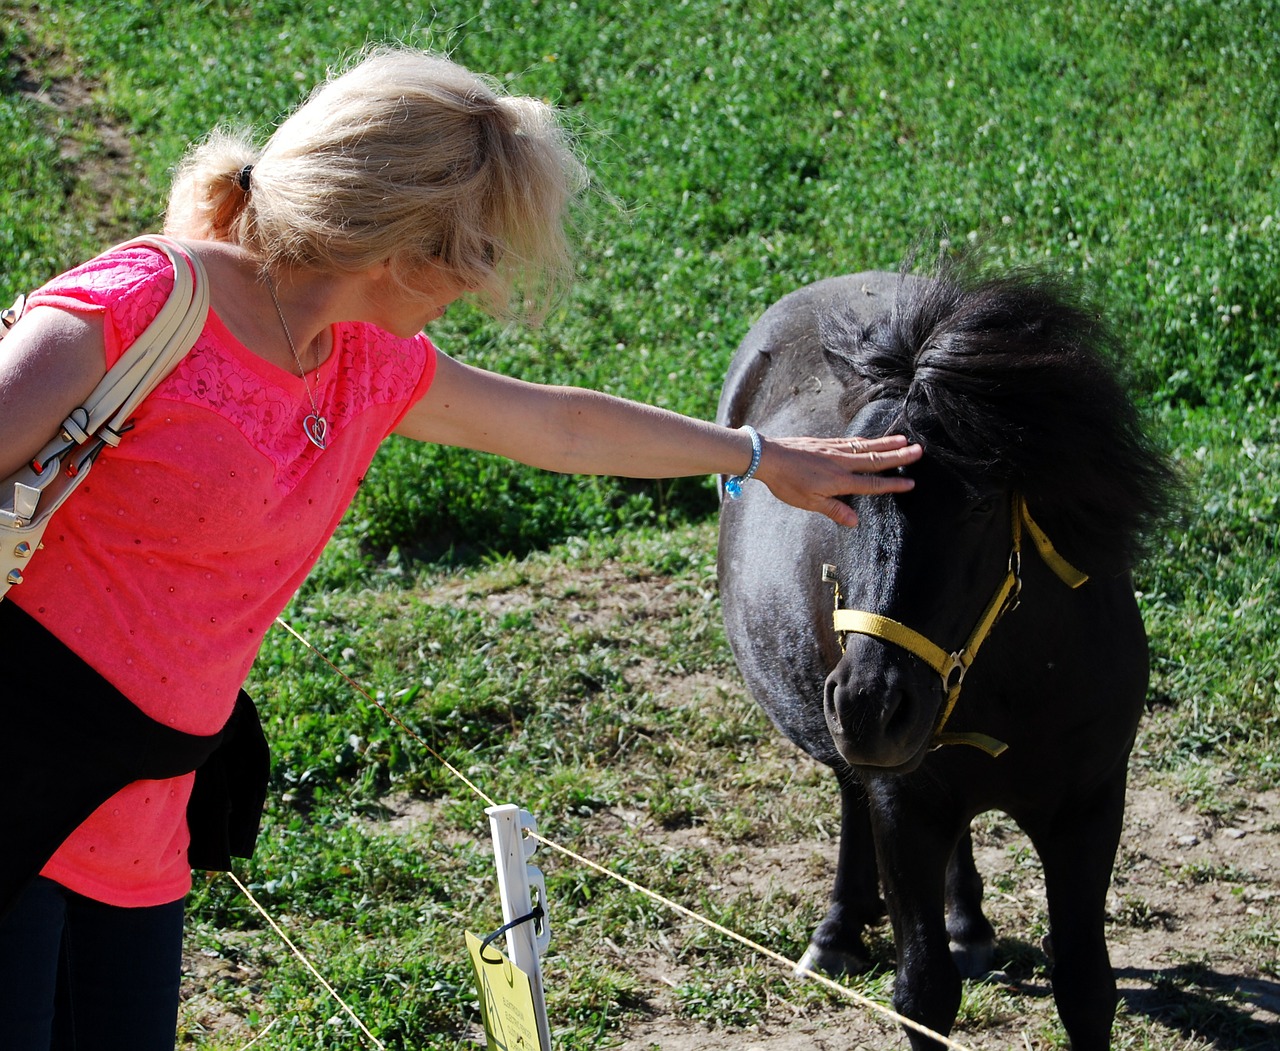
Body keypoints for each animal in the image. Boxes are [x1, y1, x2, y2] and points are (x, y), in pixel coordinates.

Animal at [716, 258, 1172, 1044]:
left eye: (983, 501)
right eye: (844, 493)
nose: (871, 706)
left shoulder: (1089, 806)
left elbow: (1086, 986)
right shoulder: (906, 807)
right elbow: (924, 993)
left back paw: (969, 925)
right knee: (851, 787)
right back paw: (839, 932)